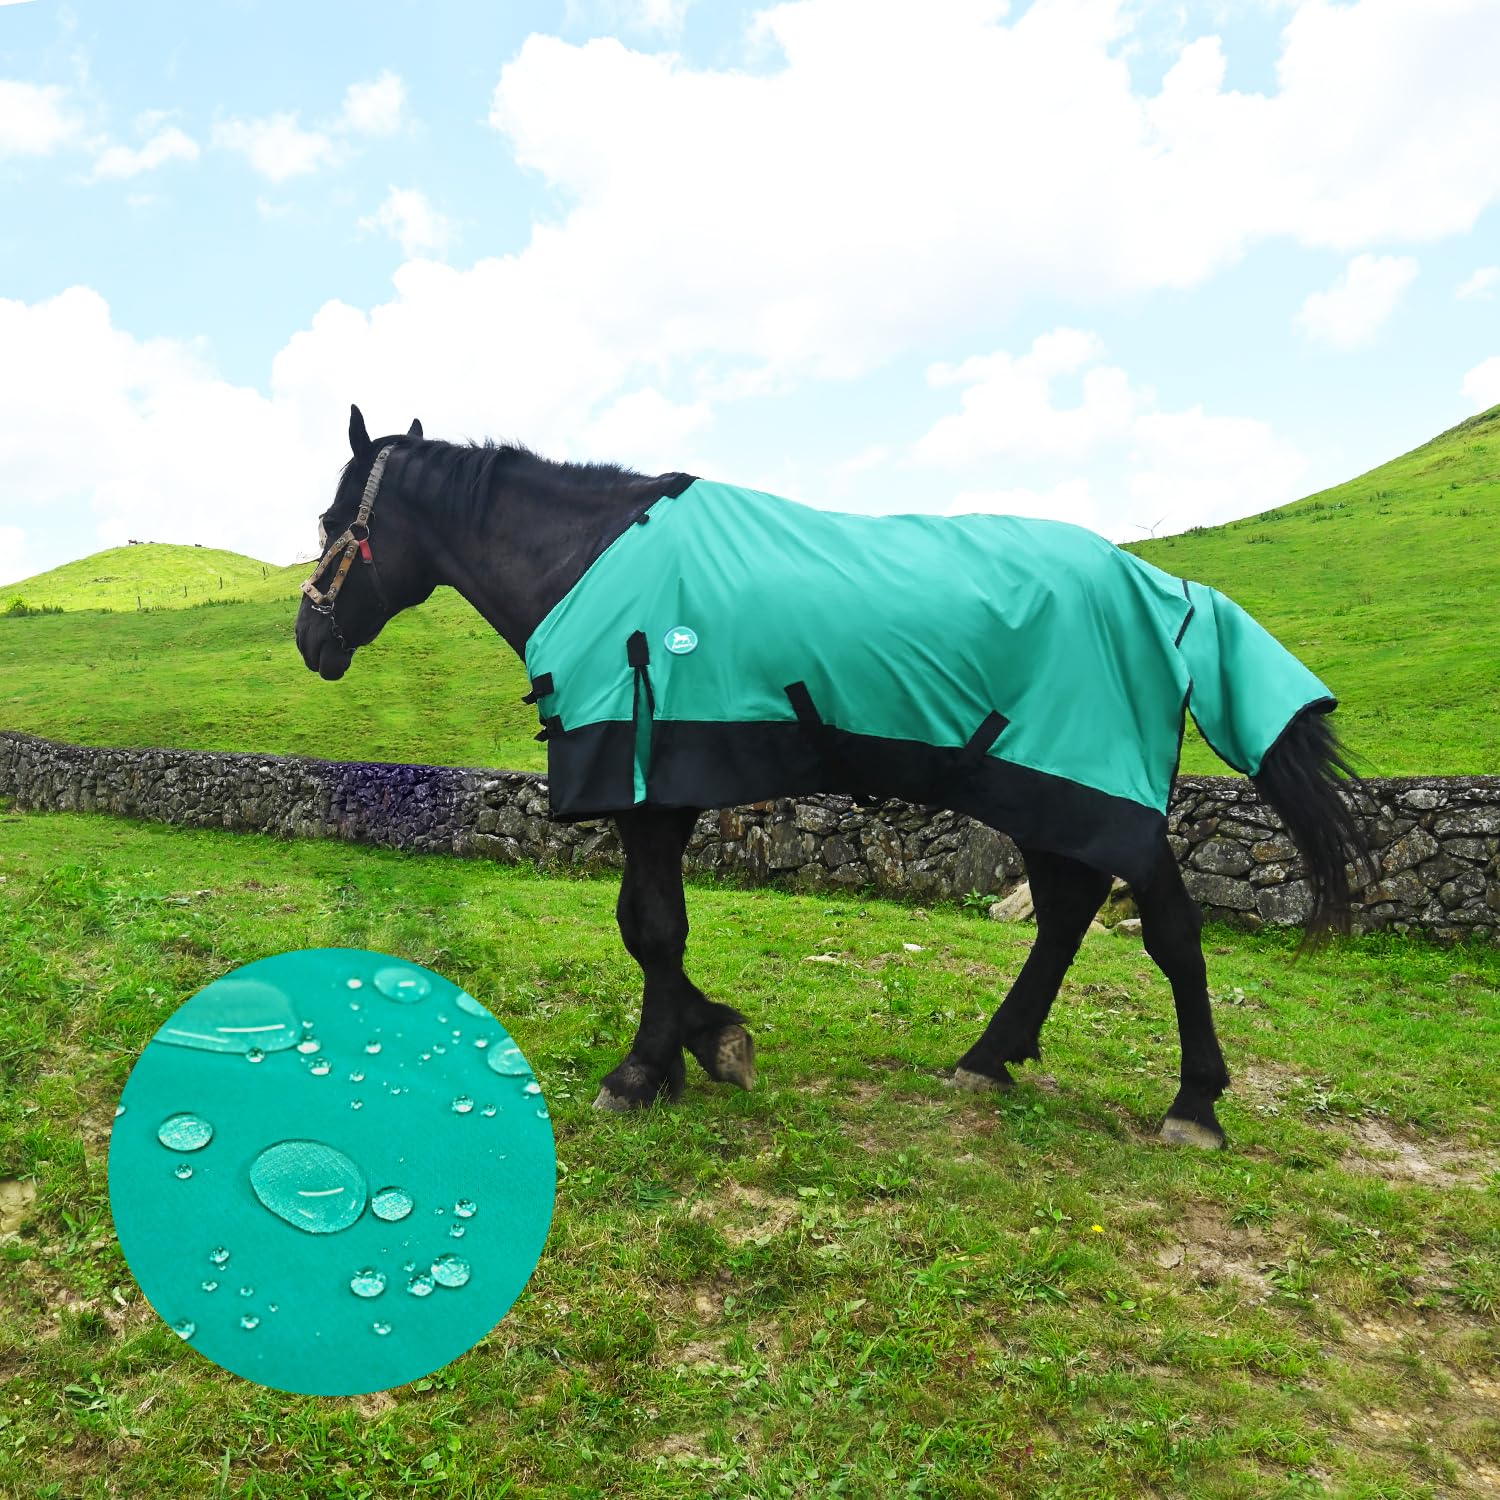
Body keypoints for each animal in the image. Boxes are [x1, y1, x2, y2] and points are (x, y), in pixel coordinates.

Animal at [295, 405, 1371, 1149]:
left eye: (329, 519)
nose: (312, 640)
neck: (593, 563)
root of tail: (1163, 590)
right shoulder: (661, 787)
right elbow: (649, 928)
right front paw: (704, 1044)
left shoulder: (651, 777)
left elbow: (652, 929)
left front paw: (649, 1069)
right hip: (1035, 789)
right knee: (1067, 914)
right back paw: (988, 1059)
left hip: (1094, 792)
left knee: (1170, 934)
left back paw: (1194, 1103)